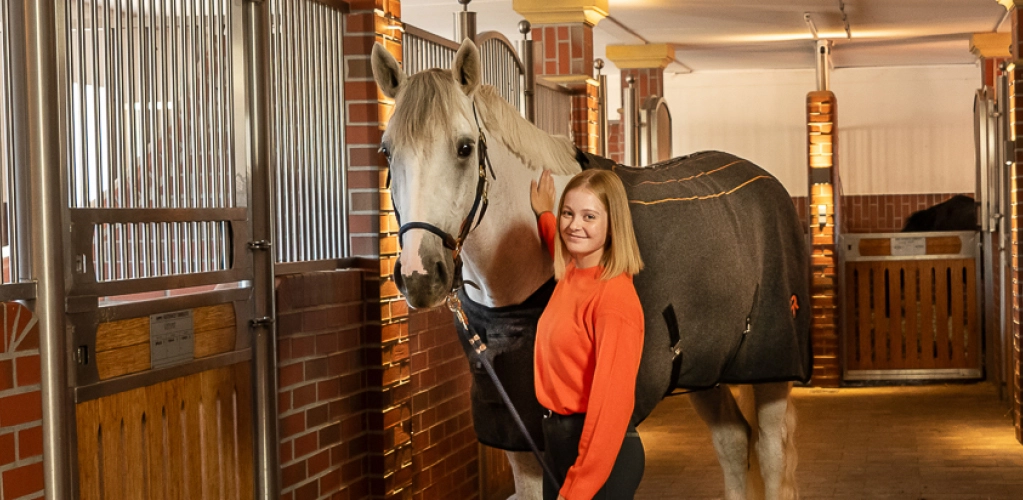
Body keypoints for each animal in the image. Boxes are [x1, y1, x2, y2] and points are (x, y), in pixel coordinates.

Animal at [371, 39, 811, 500]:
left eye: (464, 147)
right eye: (387, 151)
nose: (420, 275)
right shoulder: (515, 426)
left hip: (771, 366)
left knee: (771, 453)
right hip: (706, 368)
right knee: (733, 441)